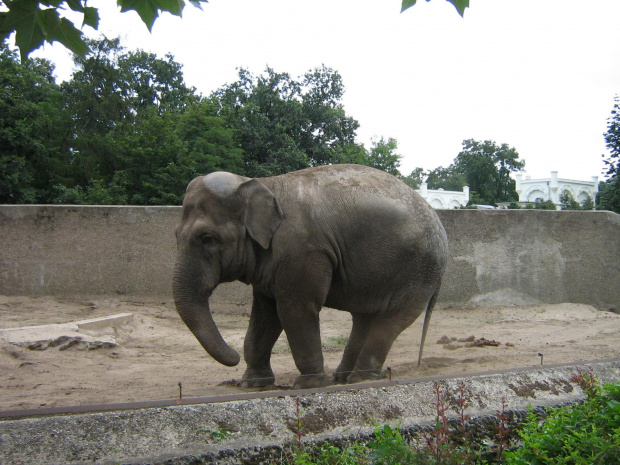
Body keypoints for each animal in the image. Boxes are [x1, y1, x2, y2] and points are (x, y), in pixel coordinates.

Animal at [172, 163, 448, 388]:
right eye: (176, 235)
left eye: (208, 239)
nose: (234, 357)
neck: (262, 183)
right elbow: (265, 314)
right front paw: (252, 385)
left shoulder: (302, 252)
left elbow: (295, 309)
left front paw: (309, 384)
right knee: (365, 317)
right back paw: (342, 378)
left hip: (419, 271)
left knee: (390, 321)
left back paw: (360, 379)